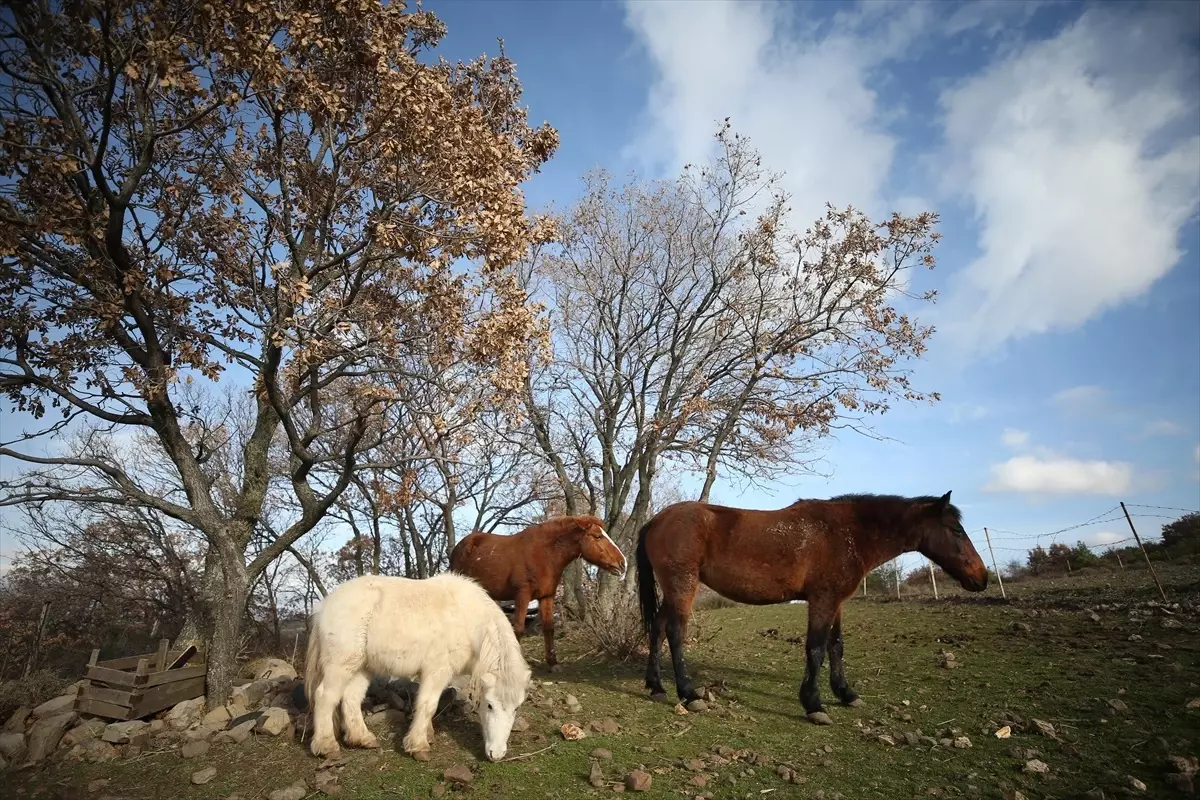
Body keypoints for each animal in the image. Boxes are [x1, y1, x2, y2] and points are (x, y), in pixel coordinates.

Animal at [304, 573, 530, 762]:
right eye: (489, 705)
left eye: (516, 707)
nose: (496, 754)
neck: (469, 620)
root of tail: (324, 606)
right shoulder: (438, 671)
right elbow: (428, 704)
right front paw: (418, 746)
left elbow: (425, 703)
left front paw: (426, 735)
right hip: (339, 665)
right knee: (325, 696)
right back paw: (326, 746)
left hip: (361, 667)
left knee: (351, 698)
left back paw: (362, 738)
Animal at [451, 520, 628, 671]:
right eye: (598, 536)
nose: (623, 563)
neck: (544, 553)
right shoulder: (522, 595)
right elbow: (519, 628)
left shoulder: (547, 597)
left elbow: (549, 628)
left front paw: (553, 663)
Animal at [633, 491, 988, 724]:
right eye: (956, 530)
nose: (982, 578)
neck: (847, 533)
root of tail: (656, 520)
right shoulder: (822, 600)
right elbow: (816, 649)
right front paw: (814, 704)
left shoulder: (837, 603)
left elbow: (836, 646)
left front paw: (846, 693)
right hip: (682, 586)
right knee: (675, 632)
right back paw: (689, 694)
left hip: (672, 592)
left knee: (658, 630)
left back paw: (656, 687)